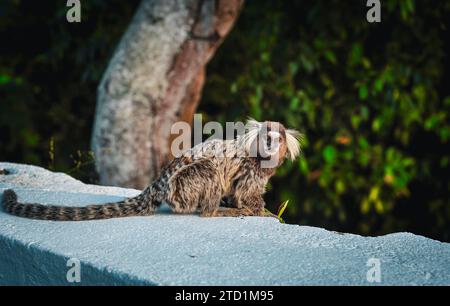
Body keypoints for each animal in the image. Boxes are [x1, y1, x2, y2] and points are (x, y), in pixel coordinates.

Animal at [2, 118, 302, 221]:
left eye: (276, 138)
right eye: (266, 137)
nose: (269, 144)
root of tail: (158, 183)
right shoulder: (251, 170)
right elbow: (246, 195)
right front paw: (262, 212)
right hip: (184, 186)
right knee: (208, 171)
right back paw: (216, 211)